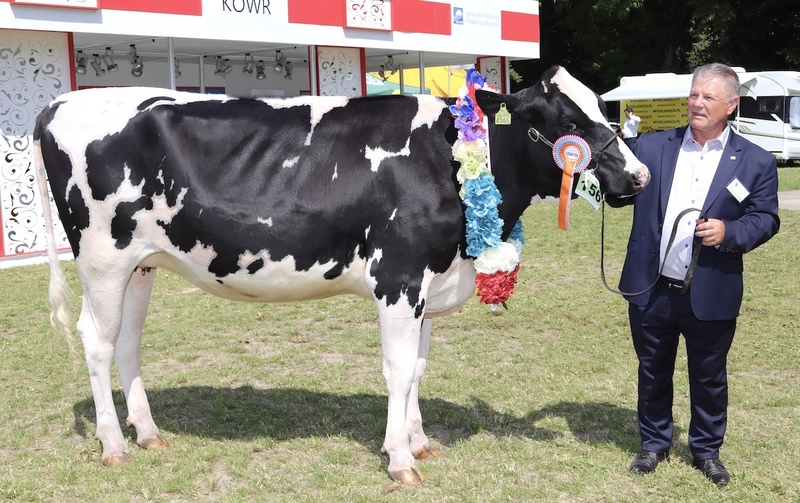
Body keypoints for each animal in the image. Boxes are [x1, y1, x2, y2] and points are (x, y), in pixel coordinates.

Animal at [36, 66, 648, 484]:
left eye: (604, 111)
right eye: (567, 122)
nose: (639, 176)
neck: (451, 159)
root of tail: (63, 100)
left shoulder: (429, 280)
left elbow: (418, 368)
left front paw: (419, 442)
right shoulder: (399, 278)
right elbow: (399, 371)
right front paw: (399, 460)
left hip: (141, 264)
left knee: (127, 341)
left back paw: (149, 434)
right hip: (102, 257)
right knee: (96, 341)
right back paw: (113, 445)